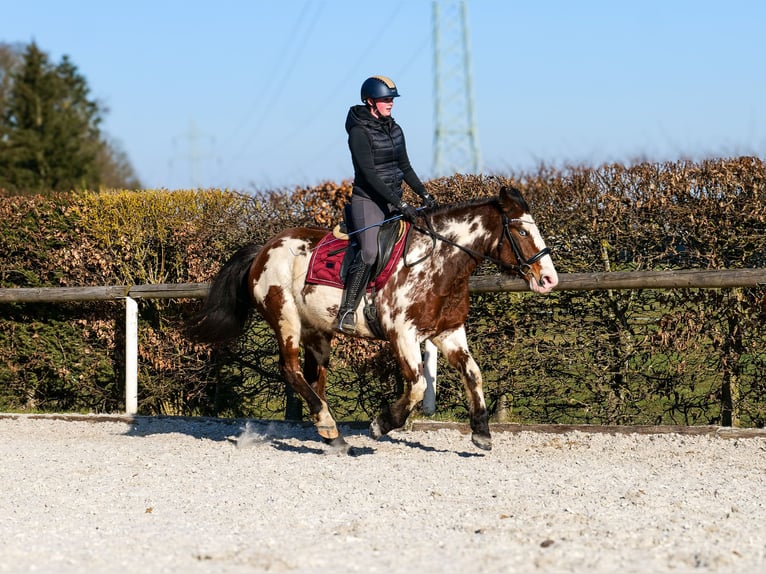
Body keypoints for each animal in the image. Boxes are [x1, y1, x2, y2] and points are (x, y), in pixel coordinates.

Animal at [192, 187, 560, 452]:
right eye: (522, 231)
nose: (548, 279)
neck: (436, 263)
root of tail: (264, 249)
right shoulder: (404, 334)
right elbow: (418, 386)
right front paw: (381, 424)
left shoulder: (449, 332)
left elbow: (473, 374)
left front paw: (481, 432)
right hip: (287, 321)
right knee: (291, 369)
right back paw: (328, 426)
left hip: (318, 331)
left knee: (314, 378)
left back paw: (330, 432)